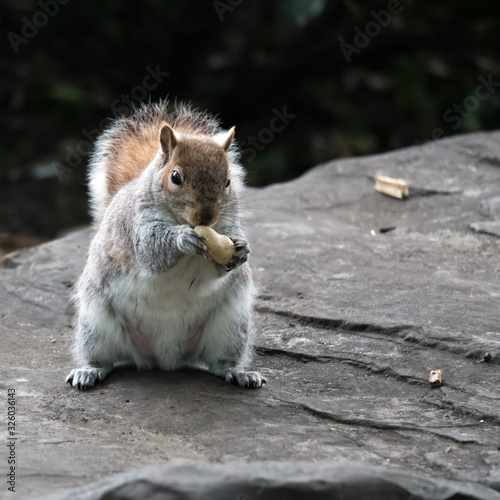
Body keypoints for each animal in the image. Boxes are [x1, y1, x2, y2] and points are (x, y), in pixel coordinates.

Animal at [66, 100, 266, 390]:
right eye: (175, 177)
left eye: (228, 182)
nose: (206, 216)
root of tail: (165, 359)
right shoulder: (137, 225)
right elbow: (152, 250)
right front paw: (182, 238)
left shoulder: (226, 230)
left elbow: (215, 270)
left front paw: (241, 251)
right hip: (97, 323)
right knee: (104, 359)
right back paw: (89, 371)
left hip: (230, 326)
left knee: (219, 363)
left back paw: (238, 372)